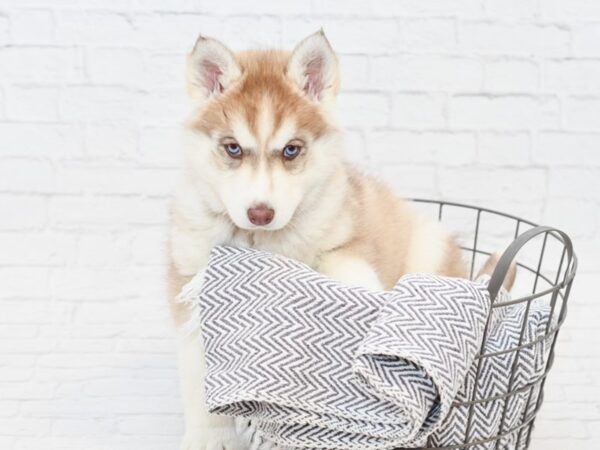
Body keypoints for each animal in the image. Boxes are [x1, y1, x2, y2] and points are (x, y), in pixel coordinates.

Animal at [170, 31, 468, 450]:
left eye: (291, 149)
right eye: (233, 148)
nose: (260, 212)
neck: (262, 242)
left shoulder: (345, 236)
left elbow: (344, 264)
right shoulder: (189, 291)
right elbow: (197, 380)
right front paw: (209, 437)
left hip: (430, 243)